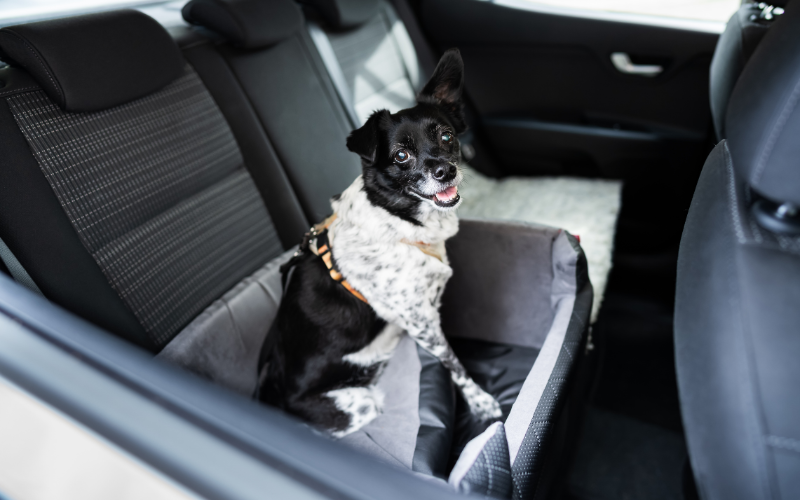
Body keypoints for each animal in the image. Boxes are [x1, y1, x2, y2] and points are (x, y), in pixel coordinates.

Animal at [258, 48, 500, 436]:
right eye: (400, 155)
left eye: (447, 136)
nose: (445, 171)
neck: (396, 219)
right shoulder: (421, 321)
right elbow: (454, 363)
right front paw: (481, 403)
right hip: (360, 404)